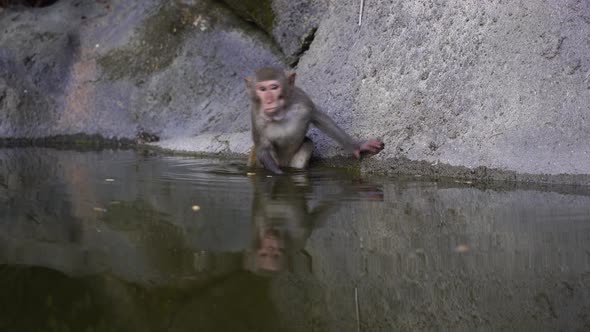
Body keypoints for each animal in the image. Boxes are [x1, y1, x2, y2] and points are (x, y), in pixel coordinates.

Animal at [244, 67, 384, 174]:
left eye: (274, 87)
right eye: (262, 89)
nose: (269, 101)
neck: (281, 114)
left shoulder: (303, 101)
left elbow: (322, 120)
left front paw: (358, 146)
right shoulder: (256, 116)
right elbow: (263, 148)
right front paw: (279, 173)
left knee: (308, 143)